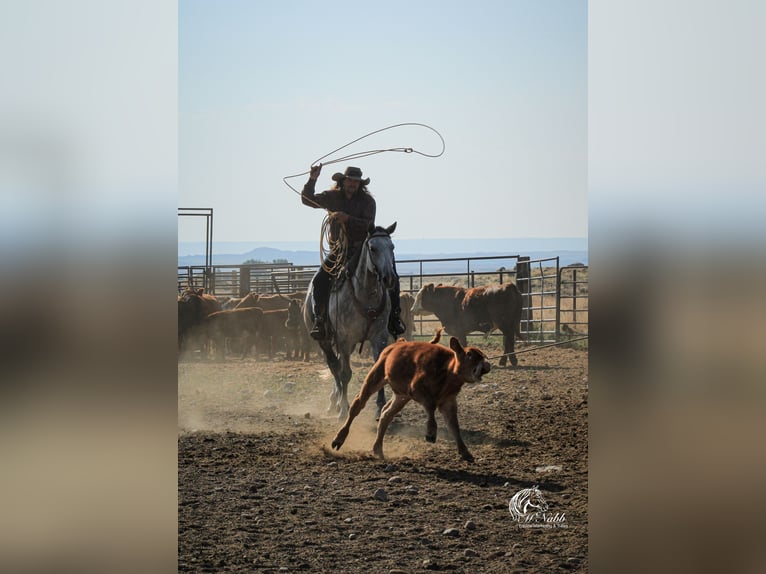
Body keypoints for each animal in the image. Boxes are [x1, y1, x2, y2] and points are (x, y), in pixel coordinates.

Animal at [304, 223, 400, 420]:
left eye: (392, 247)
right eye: (373, 248)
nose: (389, 278)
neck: (365, 295)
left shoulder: (379, 337)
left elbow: (378, 370)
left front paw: (380, 407)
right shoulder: (344, 339)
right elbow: (345, 373)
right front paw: (344, 409)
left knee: (339, 364)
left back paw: (335, 399)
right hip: (325, 340)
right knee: (335, 366)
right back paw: (337, 403)